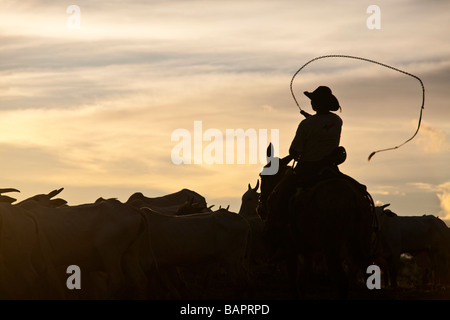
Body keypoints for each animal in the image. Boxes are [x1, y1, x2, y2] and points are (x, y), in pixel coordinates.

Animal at [256, 146, 376, 298]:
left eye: (262, 175)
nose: (260, 208)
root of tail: (353, 197)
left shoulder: (290, 249)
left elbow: (293, 278)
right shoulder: (306, 249)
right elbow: (303, 280)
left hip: (331, 248)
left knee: (342, 281)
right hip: (360, 242)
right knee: (368, 275)